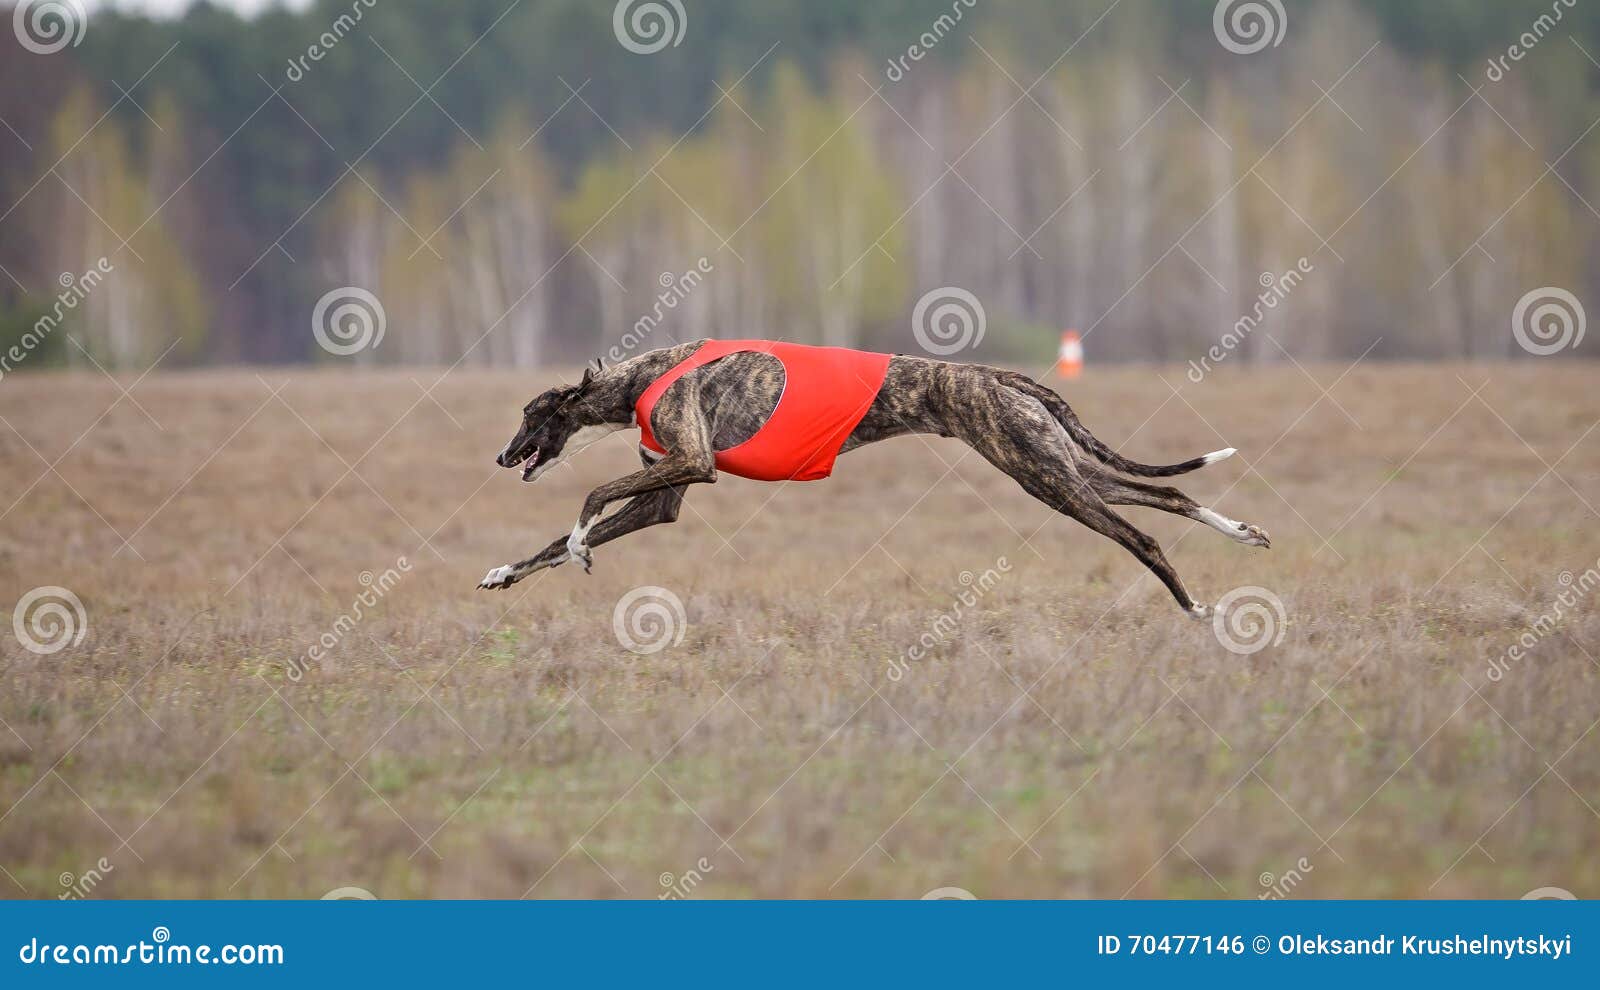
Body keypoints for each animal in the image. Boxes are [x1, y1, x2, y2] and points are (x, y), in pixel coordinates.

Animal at [480, 340, 1267, 620]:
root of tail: (993, 374)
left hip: (1042, 474)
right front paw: (502, 572)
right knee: (1166, 492)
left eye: (528, 414)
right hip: (1055, 464)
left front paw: (580, 543)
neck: (639, 378)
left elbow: (589, 499)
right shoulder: (667, 498)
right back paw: (1241, 533)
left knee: (1141, 534)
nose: (500, 458)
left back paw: (1193, 606)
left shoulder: (692, 464)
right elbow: (555, 540)